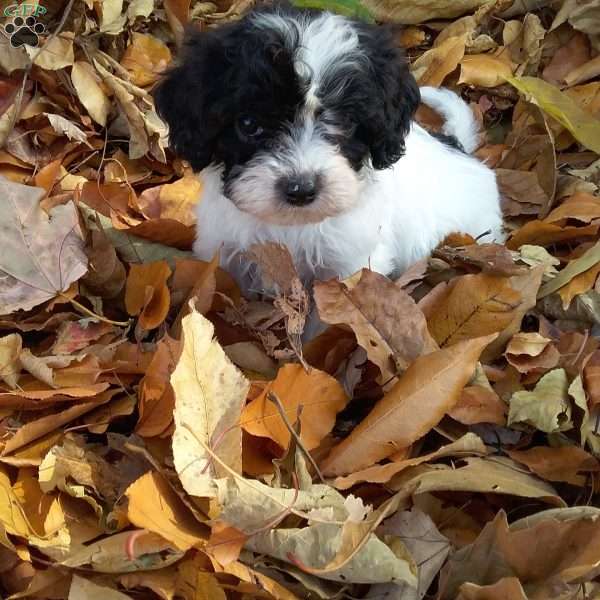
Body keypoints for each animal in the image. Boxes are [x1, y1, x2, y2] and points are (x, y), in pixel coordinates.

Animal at [155, 4, 502, 294]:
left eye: (345, 121)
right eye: (249, 124)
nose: (301, 189)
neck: (291, 226)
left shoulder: (351, 267)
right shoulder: (224, 251)